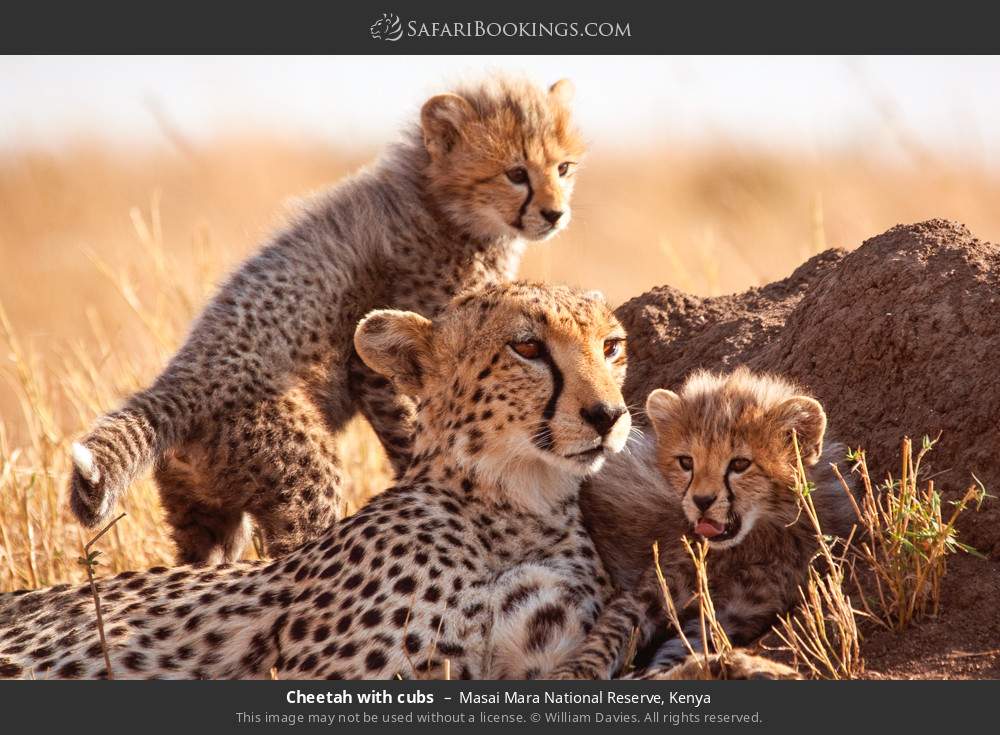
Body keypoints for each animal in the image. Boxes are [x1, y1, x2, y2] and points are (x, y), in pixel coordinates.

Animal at [68, 76, 584, 564]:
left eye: (563, 168)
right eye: (516, 173)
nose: (555, 214)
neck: (439, 201)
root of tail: (178, 381)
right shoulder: (376, 361)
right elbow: (412, 428)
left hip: (205, 514)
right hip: (302, 474)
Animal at [560, 368, 856, 680]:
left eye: (740, 464)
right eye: (686, 462)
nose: (701, 500)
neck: (746, 546)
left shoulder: (730, 615)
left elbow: (682, 652)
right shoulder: (652, 592)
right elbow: (610, 632)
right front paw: (575, 672)